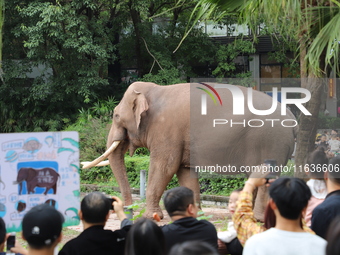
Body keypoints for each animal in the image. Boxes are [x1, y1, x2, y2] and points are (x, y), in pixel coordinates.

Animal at [82, 82, 298, 219]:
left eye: (116, 116)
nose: (127, 210)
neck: (154, 90)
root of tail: (292, 118)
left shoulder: (166, 131)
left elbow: (164, 168)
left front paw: (152, 216)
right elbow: (185, 172)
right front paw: (196, 214)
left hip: (271, 141)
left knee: (266, 174)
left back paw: (259, 218)